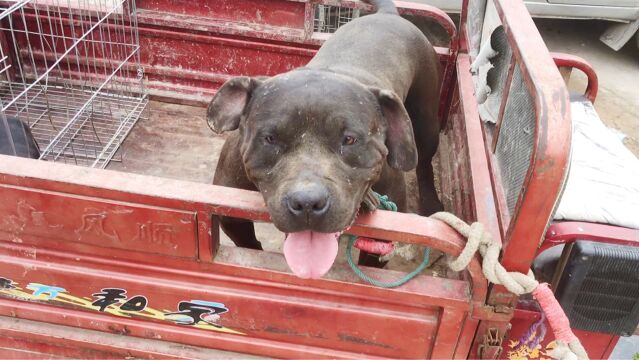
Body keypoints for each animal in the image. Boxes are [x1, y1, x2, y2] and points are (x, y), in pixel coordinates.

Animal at [208, 0, 442, 278]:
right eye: (270, 138)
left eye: (349, 140)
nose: (307, 202)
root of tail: (389, 15)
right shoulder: (230, 215)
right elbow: (248, 244)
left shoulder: (383, 236)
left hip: (426, 121)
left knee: (425, 162)